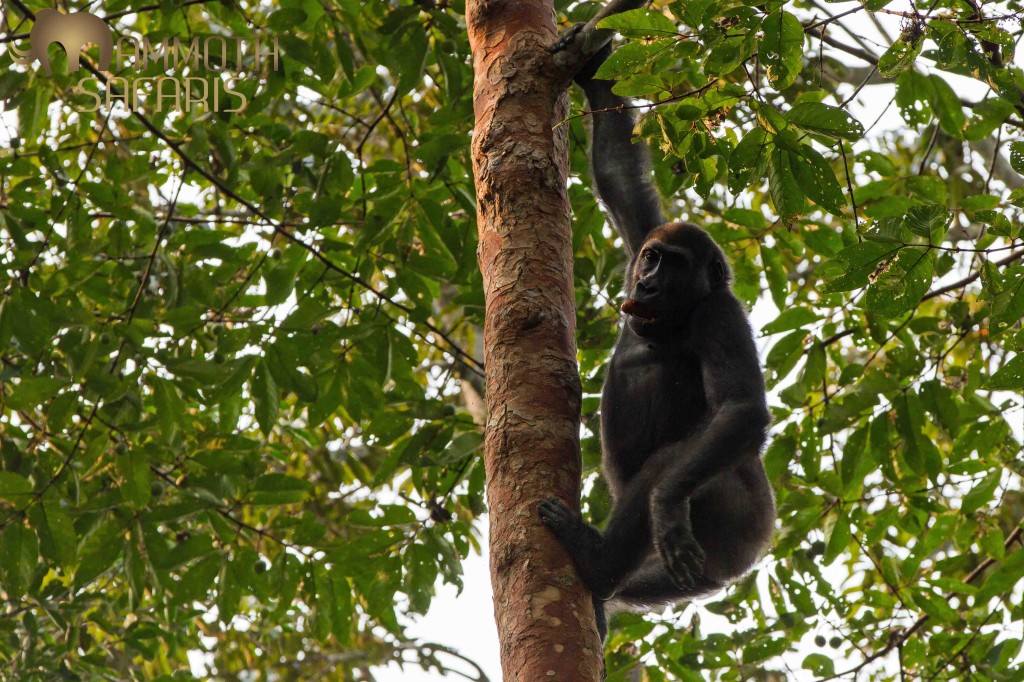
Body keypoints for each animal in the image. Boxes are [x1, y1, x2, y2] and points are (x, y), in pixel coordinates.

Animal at [538, 41, 775, 641]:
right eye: (651, 259)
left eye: (675, 267)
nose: (646, 282)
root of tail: (752, 554)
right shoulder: (643, 229)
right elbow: (618, 173)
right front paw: (593, 72)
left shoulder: (721, 315)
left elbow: (739, 407)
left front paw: (666, 505)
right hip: (695, 569)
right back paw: (604, 595)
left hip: (736, 519)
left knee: (672, 461)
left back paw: (597, 561)